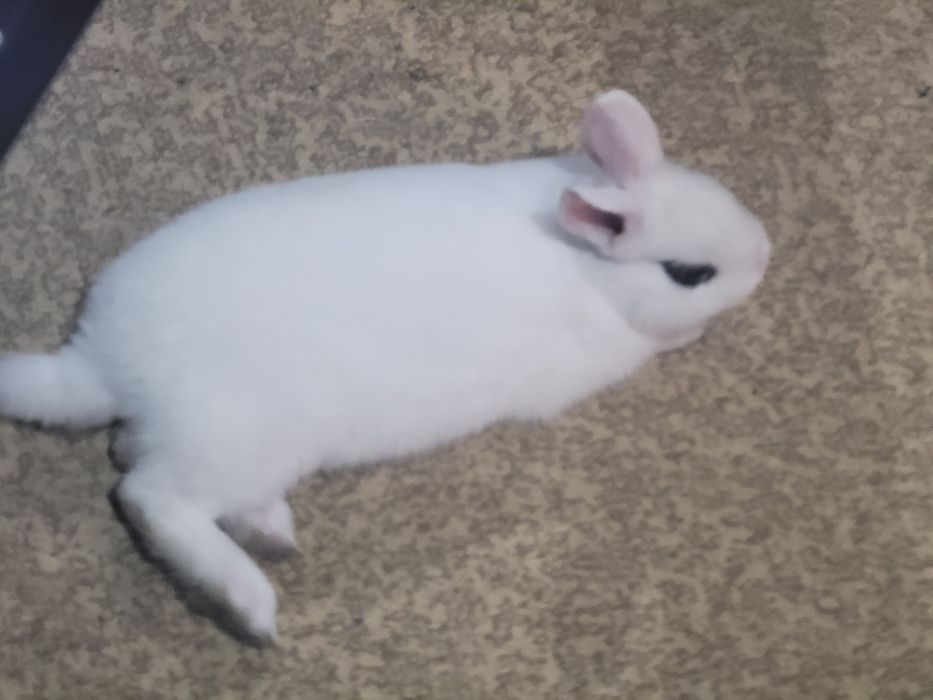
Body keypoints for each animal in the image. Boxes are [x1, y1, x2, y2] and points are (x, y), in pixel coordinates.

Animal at [0, 90, 770, 644]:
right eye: (690, 273)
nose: (765, 253)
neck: (587, 268)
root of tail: (100, 364)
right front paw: (694, 328)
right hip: (240, 440)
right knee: (151, 497)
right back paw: (252, 605)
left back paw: (271, 532)